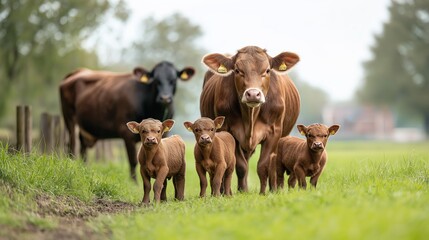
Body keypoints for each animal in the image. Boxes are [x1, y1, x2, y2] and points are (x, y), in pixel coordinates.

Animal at [200, 46, 298, 194]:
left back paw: (274, 188)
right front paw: (242, 191)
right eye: (237, 70)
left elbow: (264, 165)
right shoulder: (229, 131)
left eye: (267, 70)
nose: (253, 94)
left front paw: (264, 192)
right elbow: (241, 166)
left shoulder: (274, 132)